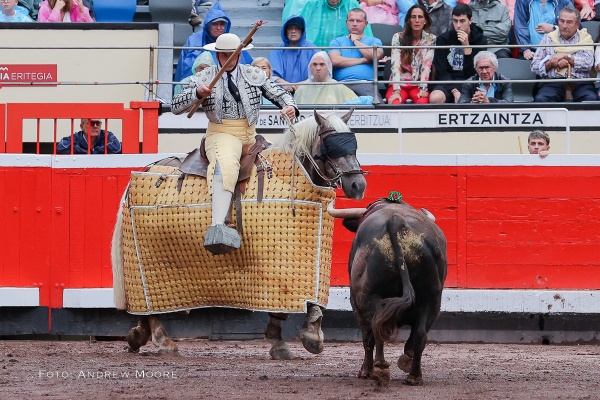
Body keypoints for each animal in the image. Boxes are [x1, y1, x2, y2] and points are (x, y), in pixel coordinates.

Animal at [111, 109, 367, 359]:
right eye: (330, 146)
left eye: (353, 145)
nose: (358, 185)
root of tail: (143, 172)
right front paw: (282, 342)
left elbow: (314, 301)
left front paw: (311, 336)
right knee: (149, 306)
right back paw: (163, 342)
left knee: (145, 309)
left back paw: (137, 336)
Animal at [328, 196, 447, 386]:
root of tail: (396, 221)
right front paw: (406, 360)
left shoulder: (355, 304)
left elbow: (367, 338)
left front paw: (365, 371)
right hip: (431, 300)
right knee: (420, 334)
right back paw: (414, 375)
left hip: (369, 297)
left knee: (376, 330)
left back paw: (379, 369)